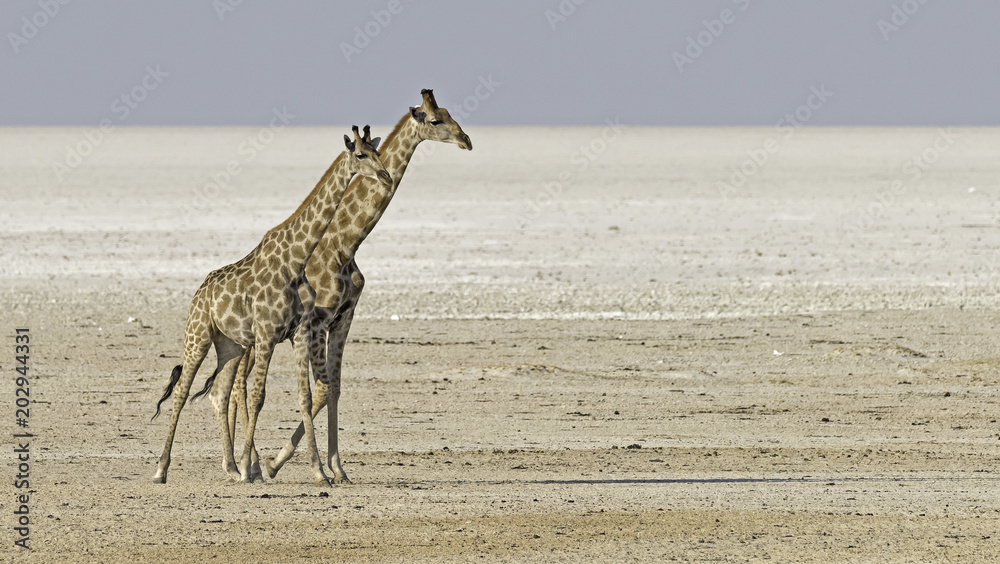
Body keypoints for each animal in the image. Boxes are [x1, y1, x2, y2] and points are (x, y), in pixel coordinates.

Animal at [151, 125, 392, 486]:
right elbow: (258, 396)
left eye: (377, 152)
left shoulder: (298, 332)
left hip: (230, 345)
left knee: (218, 392)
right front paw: (254, 470)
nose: (385, 175)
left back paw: (231, 467)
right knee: (181, 391)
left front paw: (318, 472)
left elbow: (305, 395)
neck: (296, 259)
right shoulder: (266, 334)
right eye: (361, 155)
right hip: (198, 336)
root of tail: (199, 292)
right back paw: (162, 469)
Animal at [236, 89, 473, 483]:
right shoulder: (317, 322)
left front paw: (338, 469)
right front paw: (278, 463)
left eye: (450, 113)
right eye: (435, 119)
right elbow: (319, 390)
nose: (466, 140)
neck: (346, 245)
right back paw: (248, 464)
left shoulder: (343, 319)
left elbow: (335, 389)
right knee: (237, 384)